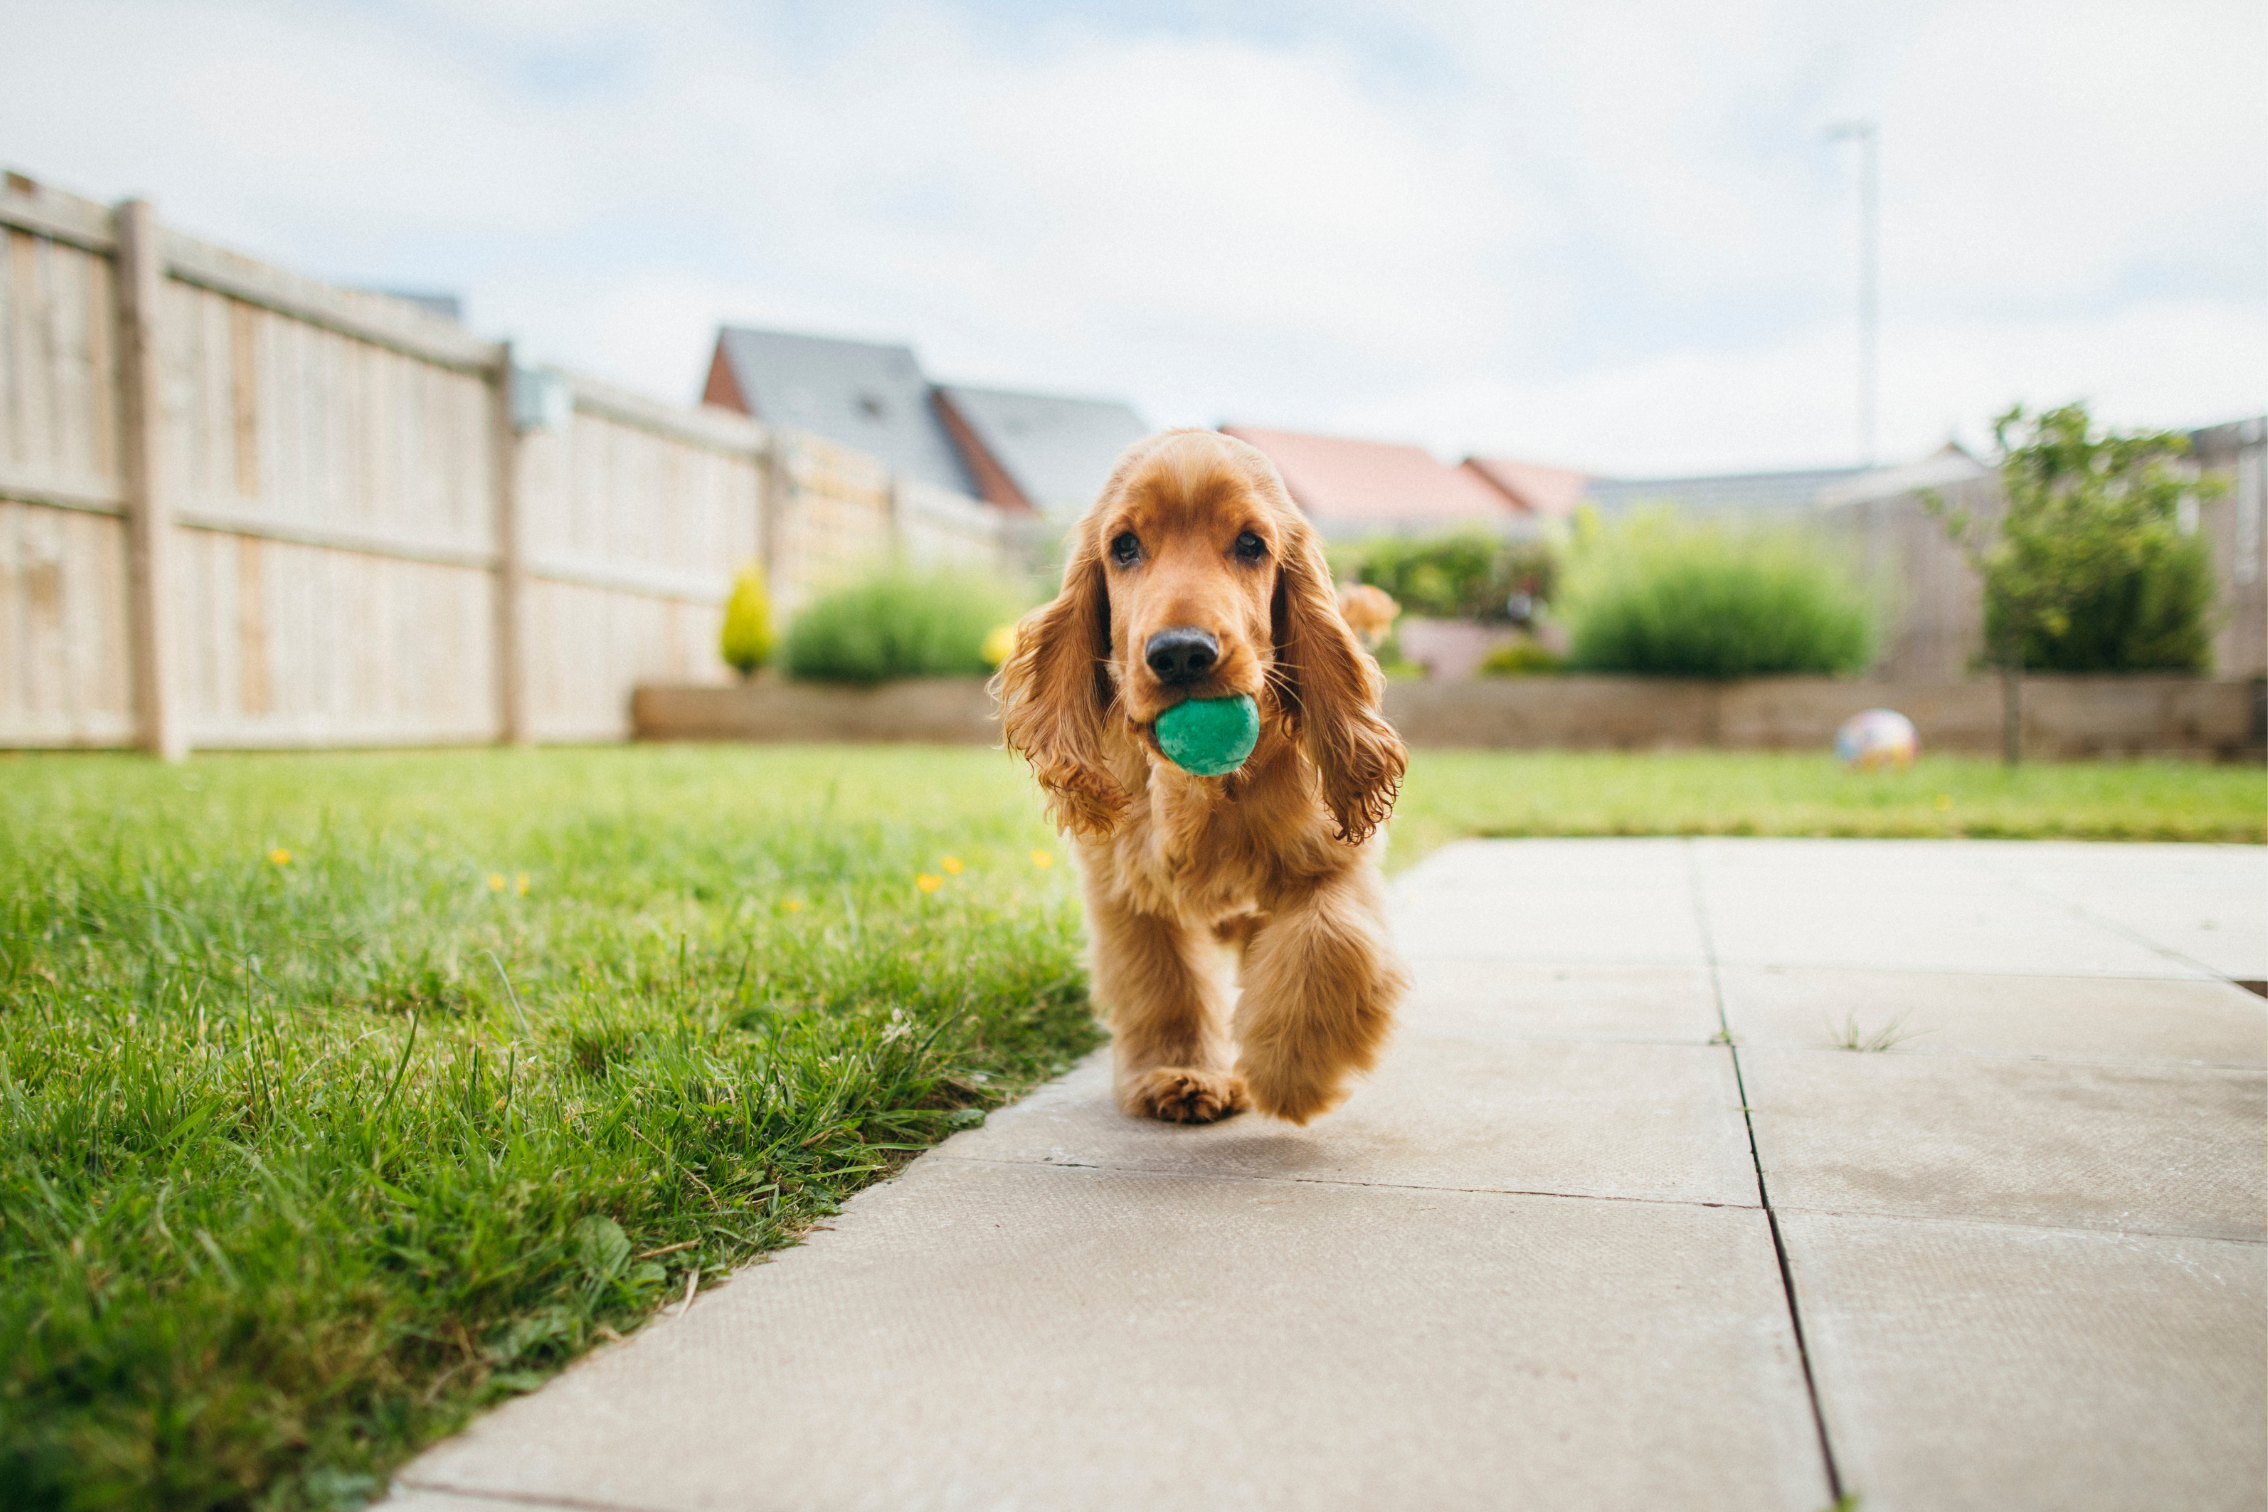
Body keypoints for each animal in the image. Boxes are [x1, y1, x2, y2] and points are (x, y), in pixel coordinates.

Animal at [997, 426, 1406, 1124]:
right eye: (1124, 547)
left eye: (1251, 544)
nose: (1182, 653)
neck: (1202, 789)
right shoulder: (1126, 886)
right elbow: (1164, 980)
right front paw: (1180, 1070)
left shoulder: (1333, 861)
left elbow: (1328, 942)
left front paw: (1291, 1069)